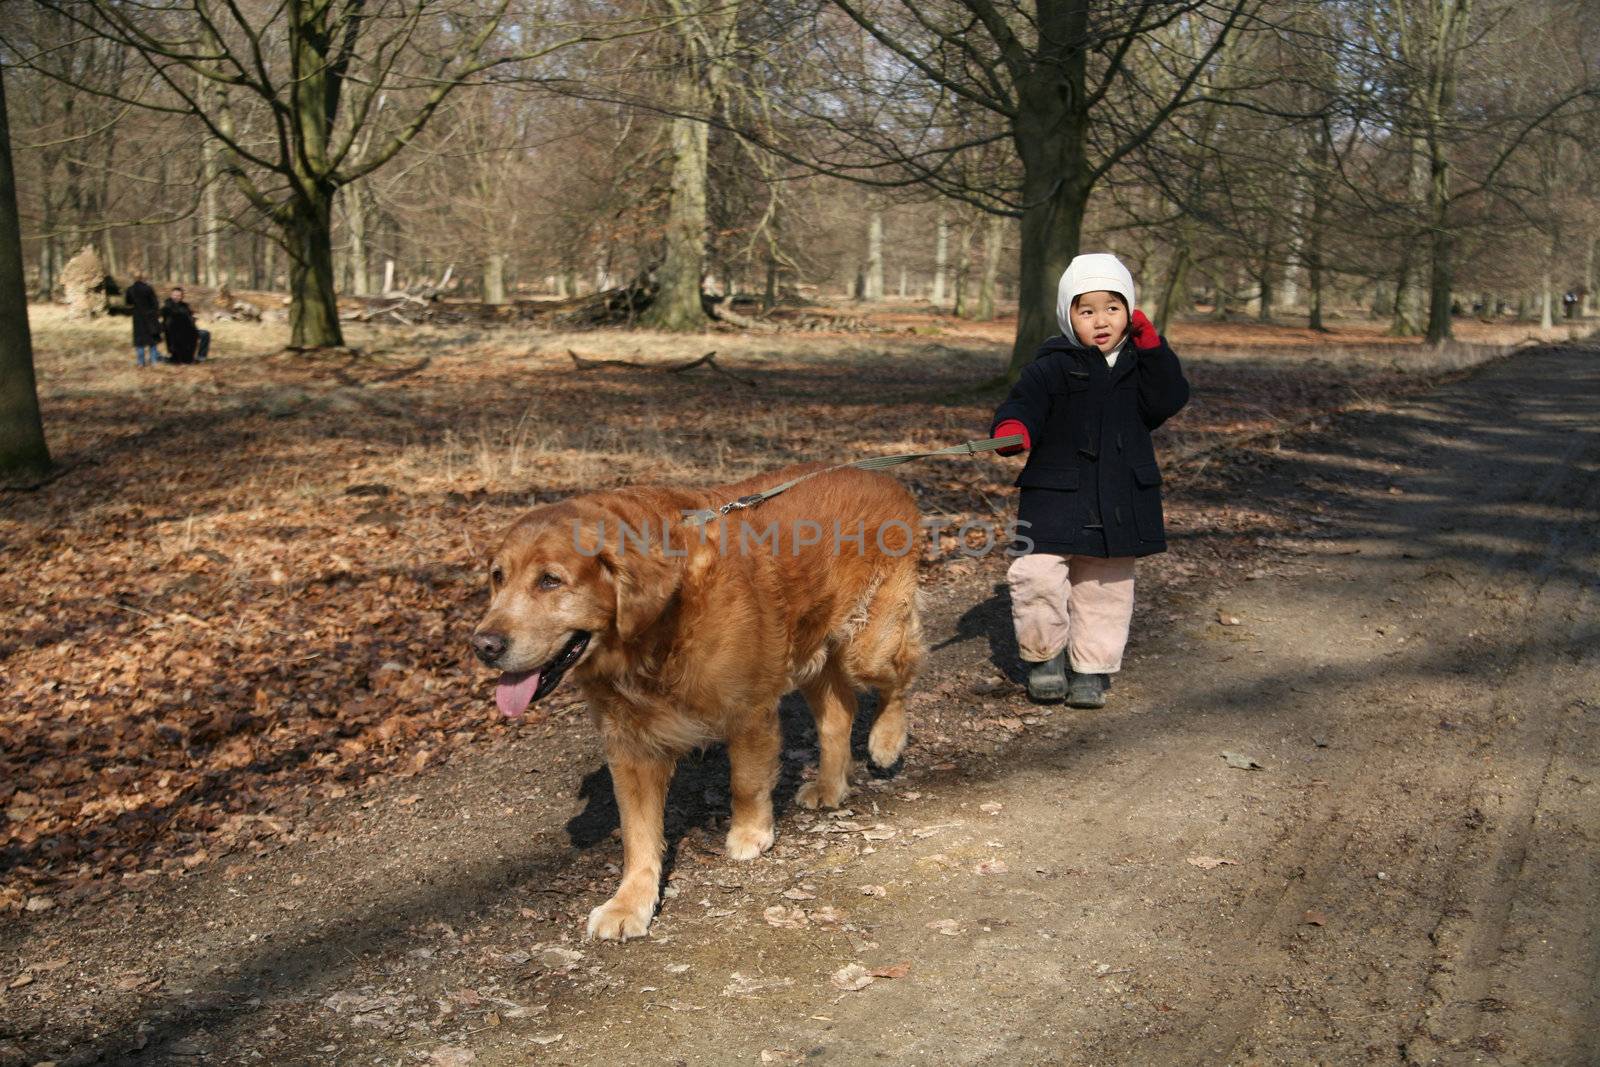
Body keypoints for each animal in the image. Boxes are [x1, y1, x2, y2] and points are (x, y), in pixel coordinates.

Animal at [467, 467, 928, 940]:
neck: (654, 632)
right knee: (840, 711)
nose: (482, 646)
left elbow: (745, 781)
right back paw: (831, 786)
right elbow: (638, 835)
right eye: (498, 577)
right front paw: (629, 903)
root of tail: (883, 476)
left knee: (902, 674)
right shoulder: (631, 747)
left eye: (550, 580)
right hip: (811, 653)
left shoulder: (748, 710)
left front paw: (749, 833)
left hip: (868, 646)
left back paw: (887, 741)